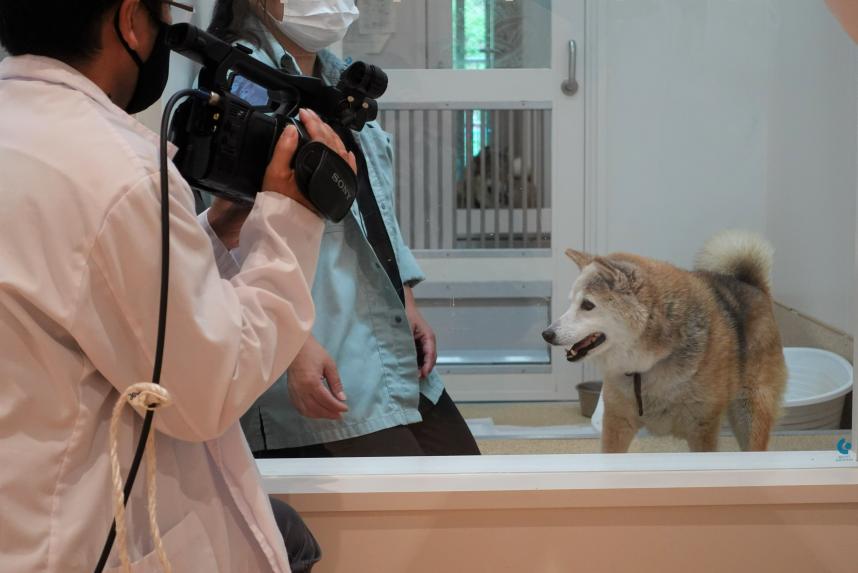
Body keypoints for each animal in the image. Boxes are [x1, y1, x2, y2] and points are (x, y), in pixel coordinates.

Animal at [544, 231, 784, 452]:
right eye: (570, 303)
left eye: (587, 305)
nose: (546, 334)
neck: (648, 366)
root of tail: (751, 284)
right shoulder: (617, 420)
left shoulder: (702, 428)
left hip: (750, 413)